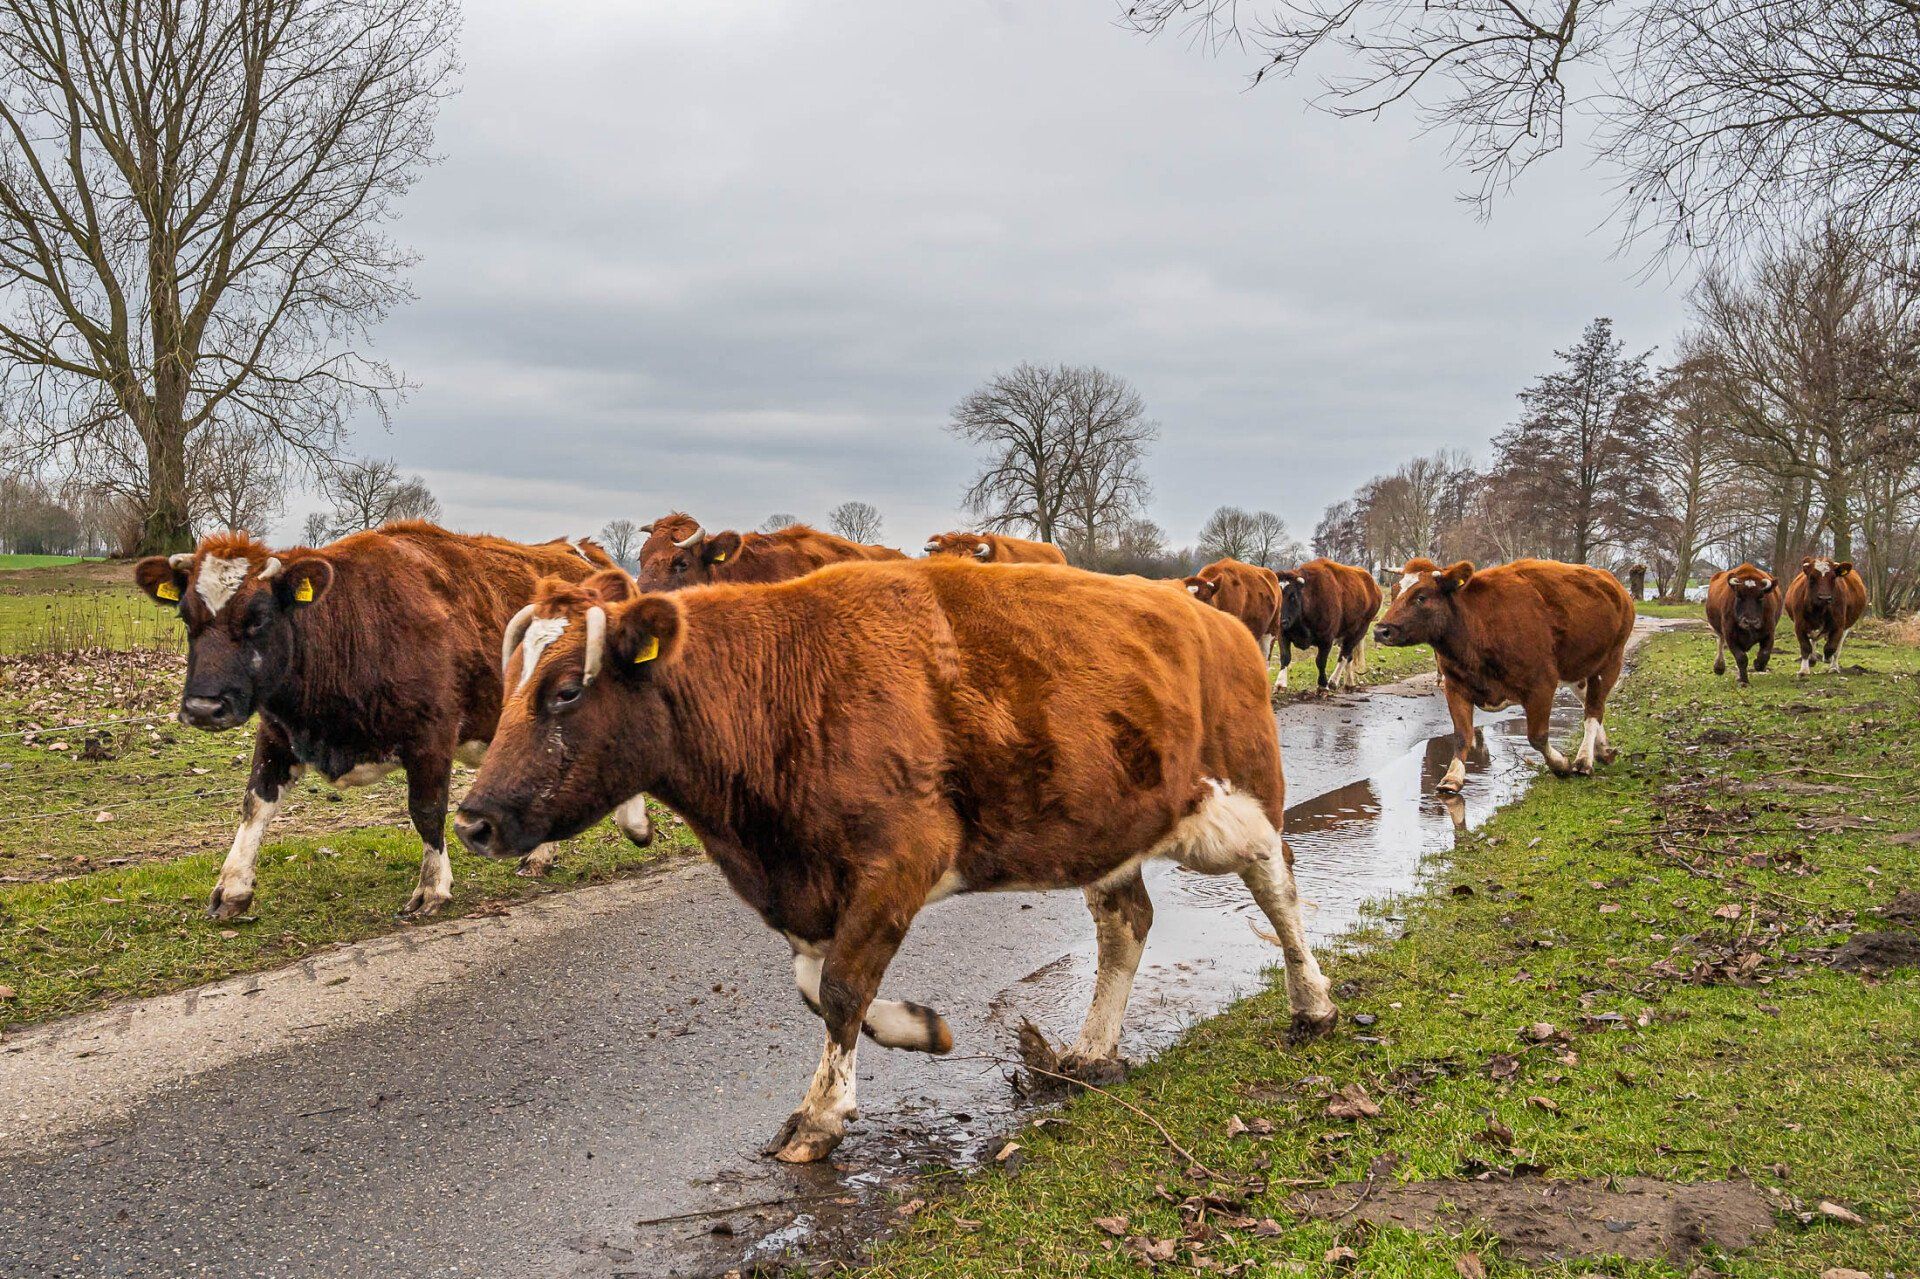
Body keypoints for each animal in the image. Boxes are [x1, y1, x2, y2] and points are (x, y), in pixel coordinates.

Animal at [133, 522, 651, 919]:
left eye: (258, 616)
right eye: (186, 617)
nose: (204, 708)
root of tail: (587, 554)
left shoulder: (432, 734)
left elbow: (426, 810)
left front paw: (432, 887)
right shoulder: (278, 731)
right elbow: (254, 804)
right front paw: (232, 889)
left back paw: (633, 824)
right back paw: (541, 856)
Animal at [454, 558, 1337, 1163]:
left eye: (566, 691)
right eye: (510, 682)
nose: (473, 819)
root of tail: (1215, 616)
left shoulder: (902, 855)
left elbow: (843, 985)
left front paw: (819, 1116)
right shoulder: (809, 882)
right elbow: (819, 985)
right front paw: (920, 1028)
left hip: (1241, 801)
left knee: (1280, 885)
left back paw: (1313, 1003)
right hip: (1114, 824)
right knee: (1127, 924)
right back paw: (1090, 1050)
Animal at [1274, 558, 1383, 693]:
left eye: (1292, 596)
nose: (1279, 620)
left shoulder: (1326, 638)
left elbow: (1320, 661)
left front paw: (1322, 685)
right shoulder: (1283, 634)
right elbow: (1285, 657)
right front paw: (1280, 684)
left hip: (1359, 631)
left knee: (1344, 655)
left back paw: (1333, 681)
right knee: (1349, 656)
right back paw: (1349, 682)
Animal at [1372, 559, 1634, 794]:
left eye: (1421, 597)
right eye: (1394, 592)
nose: (1381, 630)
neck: (1477, 626)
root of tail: (1615, 585)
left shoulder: (1541, 684)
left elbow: (1537, 737)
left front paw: (1561, 765)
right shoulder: (1456, 686)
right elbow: (1462, 735)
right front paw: (1453, 777)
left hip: (1610, 662)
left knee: (1593, 711)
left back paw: (1584, 761)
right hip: (1578, 669)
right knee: (1589, 704)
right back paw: (1603, 751)